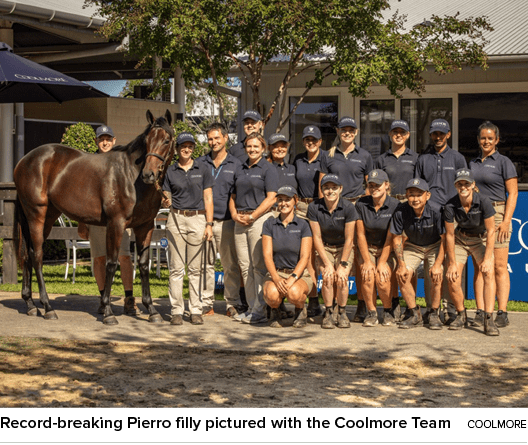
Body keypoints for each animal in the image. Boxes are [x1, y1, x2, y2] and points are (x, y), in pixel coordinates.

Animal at [13, 109, 174, 324]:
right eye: (147, 140)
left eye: (166, 140)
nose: (148, 174)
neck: (130, 176)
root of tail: (23, 161)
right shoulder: (116, 224)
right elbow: (111, 263)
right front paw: (108, 312)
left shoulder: (145, 226)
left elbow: (142, 264)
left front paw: (152, 310)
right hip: (36, 215)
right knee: (37, 255)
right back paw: (47, 307)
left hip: (47, 217)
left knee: (27, 255)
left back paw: (30, 304)